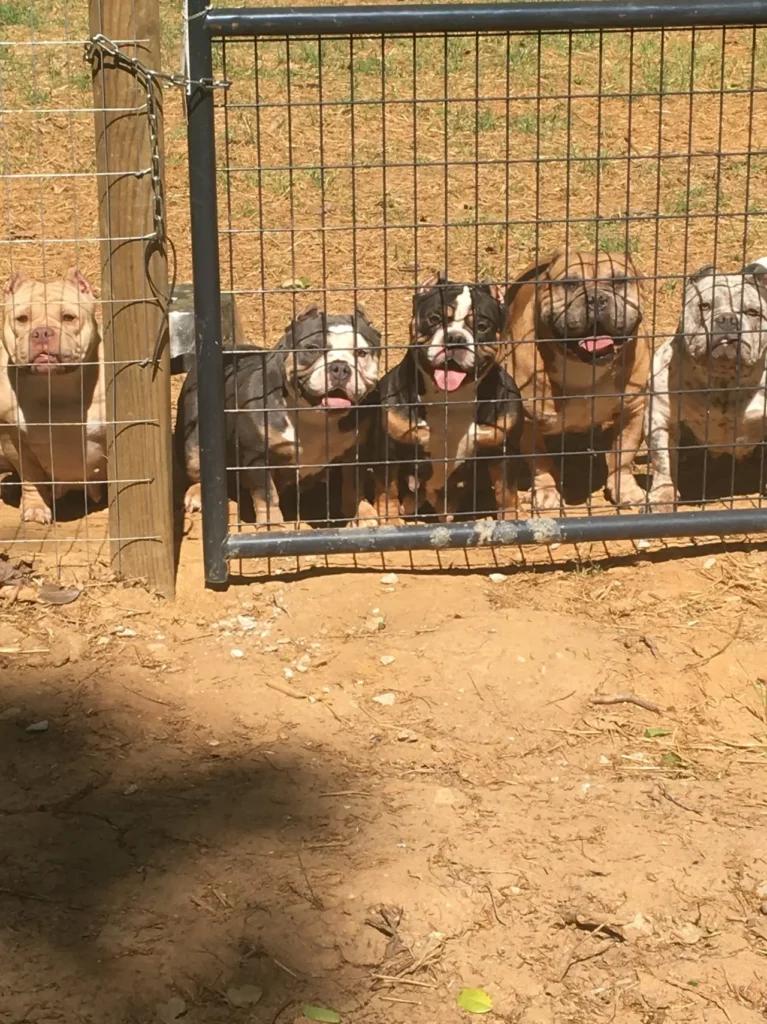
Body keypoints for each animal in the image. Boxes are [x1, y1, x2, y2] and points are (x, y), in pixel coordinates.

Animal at [0, 268, 105, 524]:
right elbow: (32, 477)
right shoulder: (14, 440)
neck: (54, 385)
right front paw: (35, 507)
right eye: (22, 319)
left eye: (68, 317)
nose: (42, 332)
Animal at [176, 305, 380, 524]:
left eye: (361, 353)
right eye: (312, 348)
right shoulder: (257, 456)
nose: (340, 367)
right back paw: (197, 494)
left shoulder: (356, 449)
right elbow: (267, 496)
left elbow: (353, 486)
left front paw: (362, 513)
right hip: (194, 440)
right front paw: (272, 524)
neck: (313, 416)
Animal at [370, 272, 520, 520]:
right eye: (434, 318)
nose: (455, 338)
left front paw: (510, 519)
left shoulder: (503, 451)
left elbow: (506, 492)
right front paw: (387, 517)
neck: (451, 399)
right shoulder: (389, 448)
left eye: (482, 326)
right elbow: (387, 488)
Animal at [505, 249, 651, 509]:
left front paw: (625, 489)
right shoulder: (529, 422)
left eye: (620, 281)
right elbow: (540, 461)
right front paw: (546, 492)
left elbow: (623, 455)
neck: (583, 365)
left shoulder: (633, 410)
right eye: (569, 283)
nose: (595, 298)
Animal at [647, 260, 765, 507]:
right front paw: (663, 496)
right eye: (704, 306)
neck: (723, 379)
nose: (728, 319)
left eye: (753, 312)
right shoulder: (661, 416)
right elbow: (662, 461)